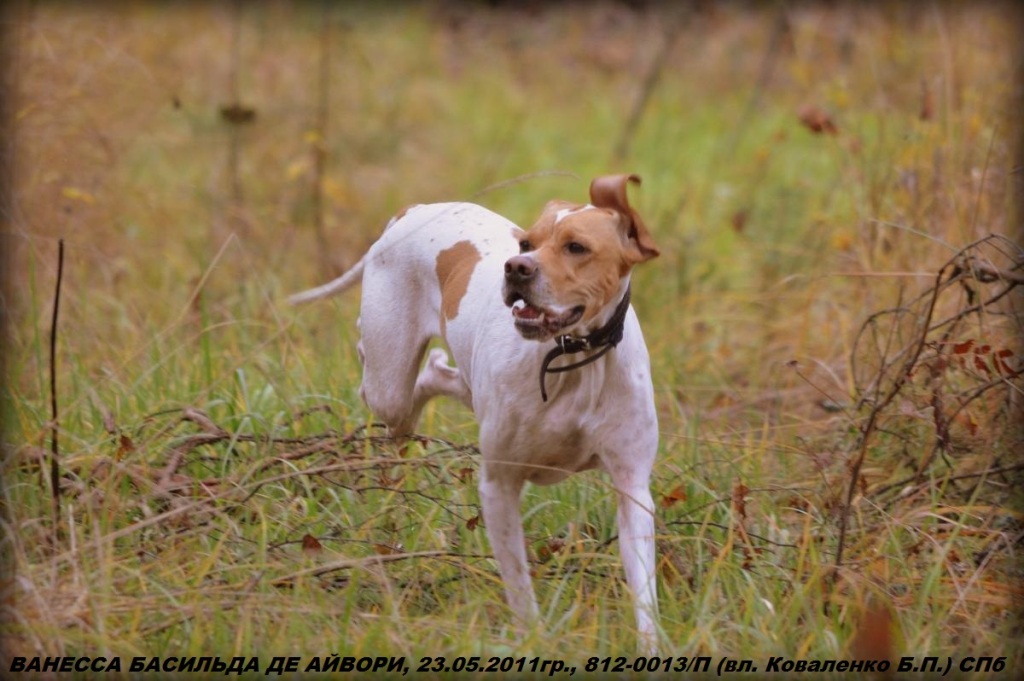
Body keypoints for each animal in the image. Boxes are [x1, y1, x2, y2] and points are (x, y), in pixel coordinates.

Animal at [288, 174, 659, 647]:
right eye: (527, 243)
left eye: (577, 247)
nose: (517, 268)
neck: (574, 361)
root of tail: (412, 211)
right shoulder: (499, 484)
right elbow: (518, 585)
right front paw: (534, 640)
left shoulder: (633, 489)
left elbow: (645, 595)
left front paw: (652, 646)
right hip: (387, 382)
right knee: (385, 381)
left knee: (434, 377)